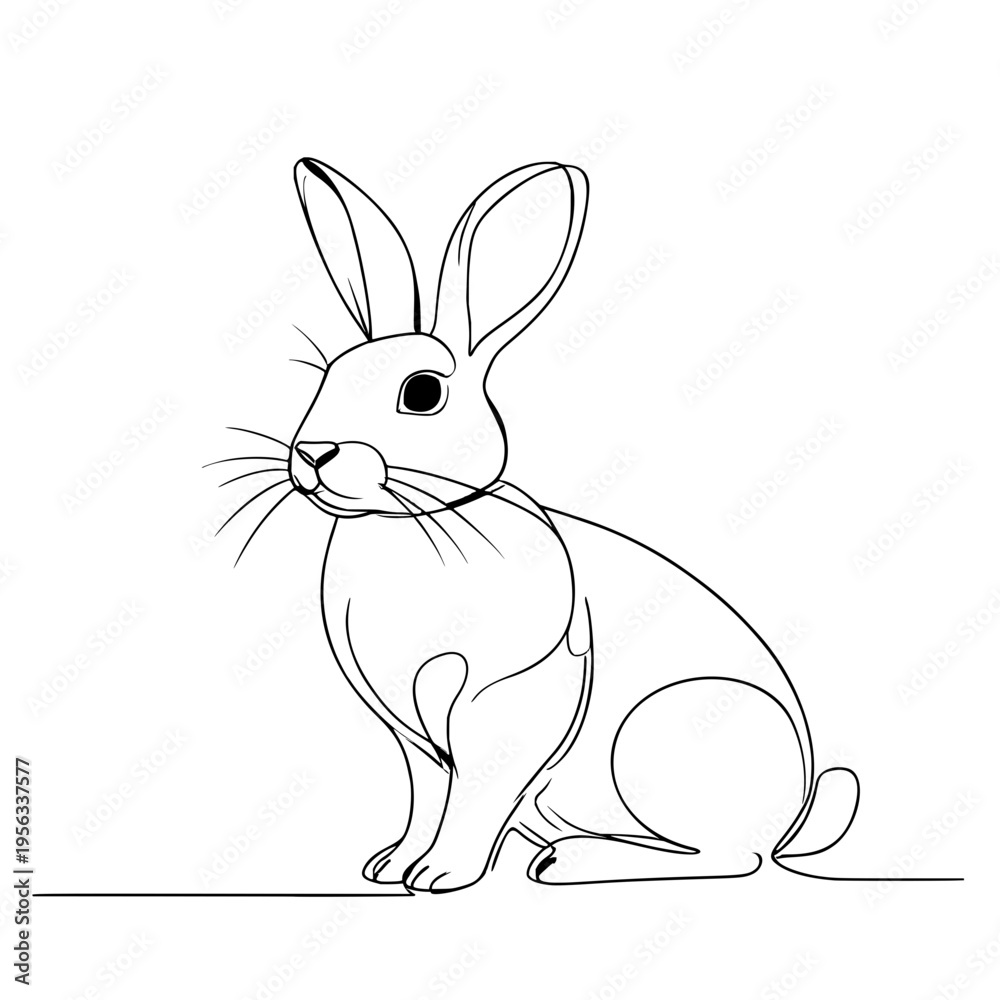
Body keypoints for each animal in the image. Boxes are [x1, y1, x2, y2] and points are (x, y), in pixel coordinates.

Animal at [271, 157, 861, 893]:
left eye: (422, 393)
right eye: (328, 374)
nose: (313, 454)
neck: (419, 514)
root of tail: (797, 810)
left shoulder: (504, 697)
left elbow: (476, 791)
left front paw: (441, 875)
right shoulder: (415, 734)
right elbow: (428, 794)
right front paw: (392, 865)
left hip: (659, 735)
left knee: (729, 858)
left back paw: (568, 864)